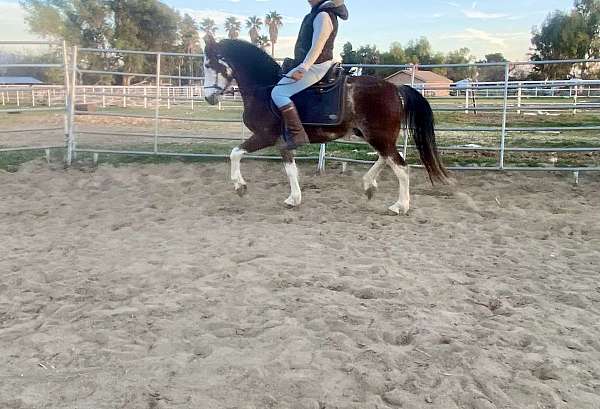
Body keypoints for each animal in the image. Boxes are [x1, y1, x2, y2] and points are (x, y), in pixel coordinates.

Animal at [203, 36, 450, 215]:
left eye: (209, 64)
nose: (208, 98)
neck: (266, 89)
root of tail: (395, 88)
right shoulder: (283, 143)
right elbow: (290, 170)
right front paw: (294, 199)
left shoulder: (264, 136)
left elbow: (235, 153)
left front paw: (239, 186)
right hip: (374, 136)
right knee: (386, 158)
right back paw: (369, 185)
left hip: (378, 136)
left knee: (401, 167)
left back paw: (400, 206)